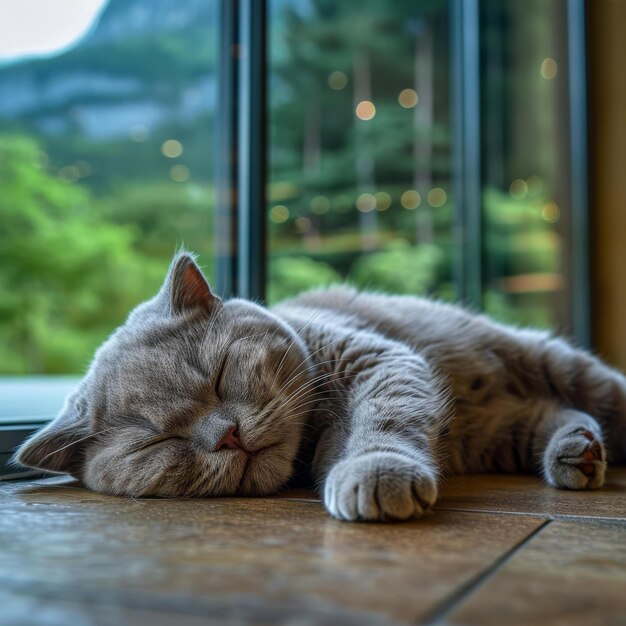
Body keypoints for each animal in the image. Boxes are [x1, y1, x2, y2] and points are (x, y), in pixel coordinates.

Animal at [15, 251, 624, 520]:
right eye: (157, 442)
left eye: (219, 376)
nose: (226, 435)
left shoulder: (377, 358)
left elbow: (383, 418)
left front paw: (371, 472)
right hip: (504, 429)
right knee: (556, 413)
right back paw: (578, 454)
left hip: (556, 362)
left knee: (595, 396)